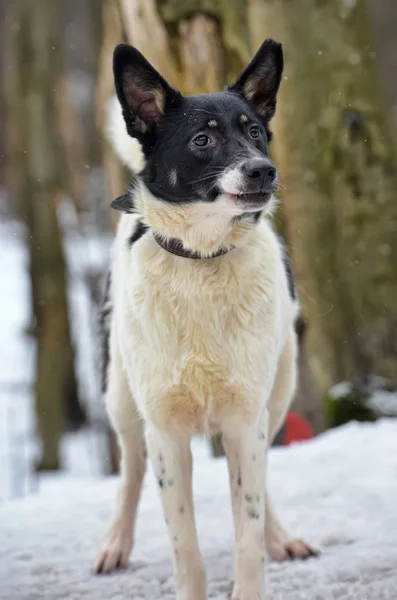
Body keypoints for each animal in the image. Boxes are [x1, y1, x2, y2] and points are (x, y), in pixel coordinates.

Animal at [94, 41, 314, 600]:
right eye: (202, 138)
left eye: (255, 131)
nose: (263, 170)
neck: (203, 259)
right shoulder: (165, 432)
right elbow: (185, 545)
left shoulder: (244, 418)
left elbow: (247, 530)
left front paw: (256, 567)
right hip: (121, 396)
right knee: (131, 469)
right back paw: (115, 543)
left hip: (278, 391)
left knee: (259, 481)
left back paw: (281, 536)